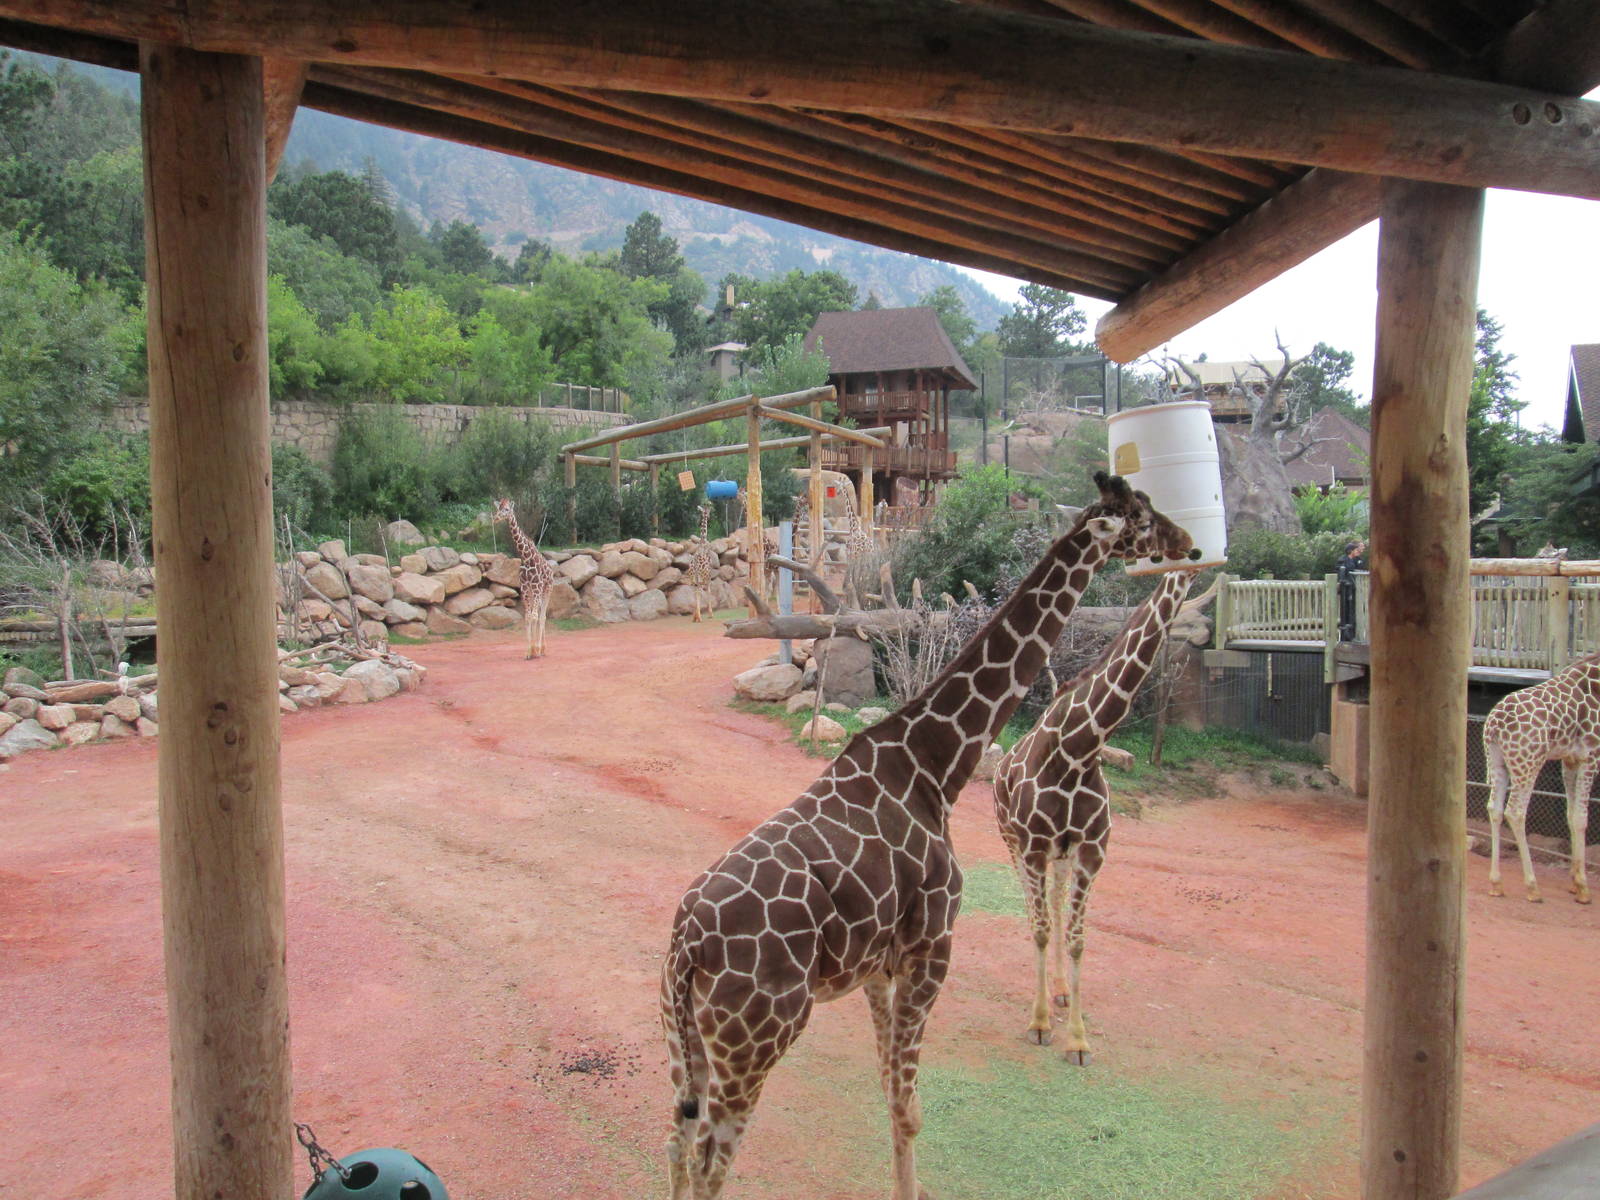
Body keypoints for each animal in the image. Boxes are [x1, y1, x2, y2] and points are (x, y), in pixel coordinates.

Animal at [491, 497, 556, 659]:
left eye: (507, 509)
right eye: (498, 508)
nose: (495, 518)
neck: (526, 558)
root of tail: (551, 570)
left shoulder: (537, 586)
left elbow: (534, 616)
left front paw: (535, 650)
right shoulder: (525, 588)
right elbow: (528, 617)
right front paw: (528, 652)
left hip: (547, 589)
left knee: (542, 616)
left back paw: (542, 649)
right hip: (535, 592)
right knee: (538, 614)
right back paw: (541, 649)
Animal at [993, 567, 1199, 1062]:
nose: (1198, 566)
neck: (1078, 749)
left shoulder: (1091, 849)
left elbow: (1077, 937)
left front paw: (1079, 1039)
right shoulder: (1032, 845)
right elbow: (1042, 929)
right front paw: (1040, 1025)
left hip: (1061, 855)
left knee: (1053, 904)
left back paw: (1061, 992)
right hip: (1012, 841)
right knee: (1033, 911)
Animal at [1483, 650, 1600, 904]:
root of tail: (1494, 725)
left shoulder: (1570, 759)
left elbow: (1569, 815)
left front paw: (1574, 882)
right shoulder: (1590, 756)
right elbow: (1580, 817)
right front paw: (1583, 888)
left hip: (1497, 761)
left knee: (1495, 809)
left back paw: (1496, 883)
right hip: (1528, 763)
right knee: (1515, 811)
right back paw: (1532, 887)